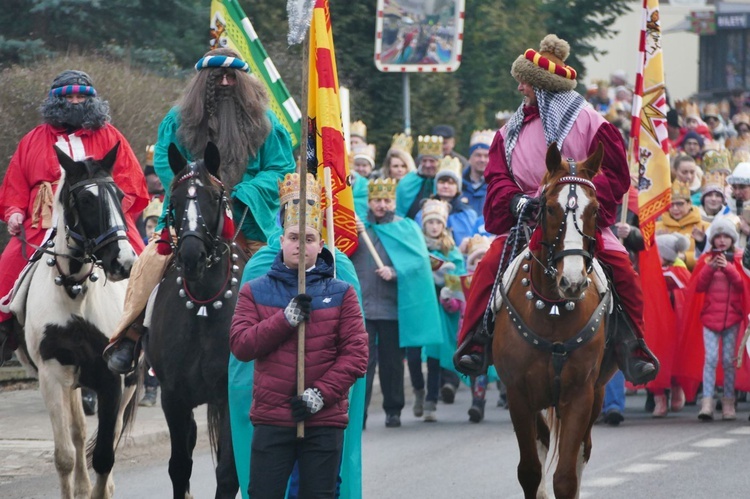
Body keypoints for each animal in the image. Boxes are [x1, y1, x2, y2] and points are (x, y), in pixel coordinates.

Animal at [11, 145, 138, 499]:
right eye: (86, 200)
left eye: (120, 196)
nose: (124, 262)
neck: (75, 289)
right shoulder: (52, 376)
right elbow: (65, 455)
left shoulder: (112, 380)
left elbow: (105, 455)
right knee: (79, 434)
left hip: (128, 383)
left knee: (110, 434)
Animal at [494, 143, 616, 498]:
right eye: (548, 208)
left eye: (595, 209)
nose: (572, 281)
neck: (552, 309)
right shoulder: (519, 395)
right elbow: (530, 472)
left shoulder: (580, 394)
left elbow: (566, 477)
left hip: (595, 394)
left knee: (581, 452)